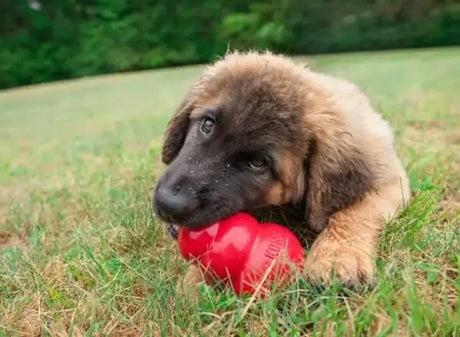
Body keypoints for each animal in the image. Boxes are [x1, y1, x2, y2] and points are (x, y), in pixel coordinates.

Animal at [153, 50, 412, 292]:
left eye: (258, 162)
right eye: (207, 124)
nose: (168, 204)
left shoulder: (391, 181)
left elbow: (356, 211)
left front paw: (338, 255)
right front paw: (195, 280)